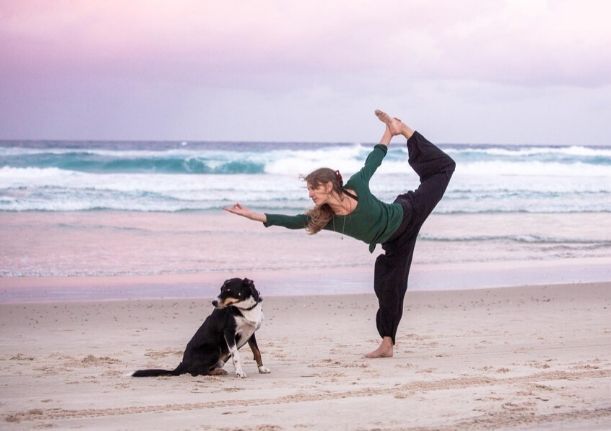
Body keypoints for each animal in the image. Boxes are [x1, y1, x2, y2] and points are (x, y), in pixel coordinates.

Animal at [134, 278, 270, 380]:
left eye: (228, 290)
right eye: (221, 289)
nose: (213, 302)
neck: (246, 309)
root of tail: (183, 363)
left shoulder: (250, 333)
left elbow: (257, 352)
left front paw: (262, 369)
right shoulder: (229, 333)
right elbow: (236, 355)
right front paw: (240, 372)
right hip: (214, 349)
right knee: (197, 371)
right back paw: (218, 372)